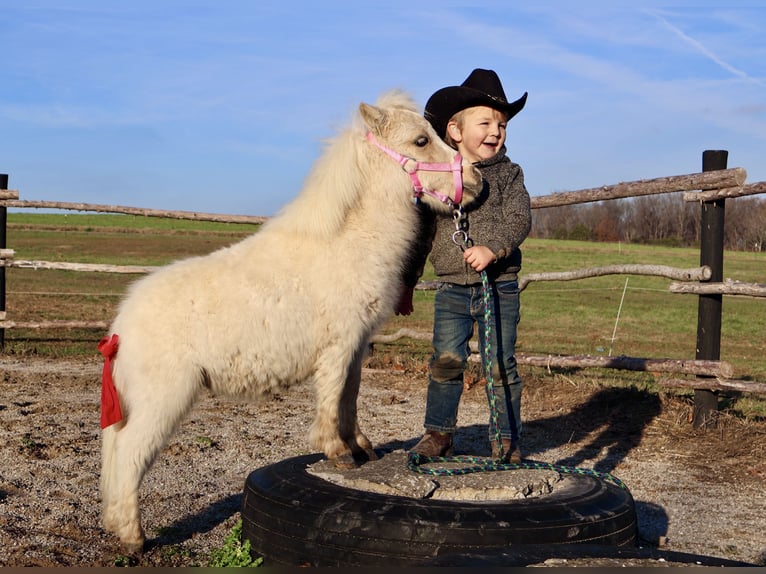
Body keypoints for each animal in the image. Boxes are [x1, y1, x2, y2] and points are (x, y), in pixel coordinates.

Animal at [99, 91, 484, 552]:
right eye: (421, 141)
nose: (477, 181)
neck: (347, 242)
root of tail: (121, 324)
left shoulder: (356, 347)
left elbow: (349, 398)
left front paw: (361, 448)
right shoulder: (338, 347)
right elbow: (332, 399)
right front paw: (338, 452)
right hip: (162, 400)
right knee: (129, 455)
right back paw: (133, 536)